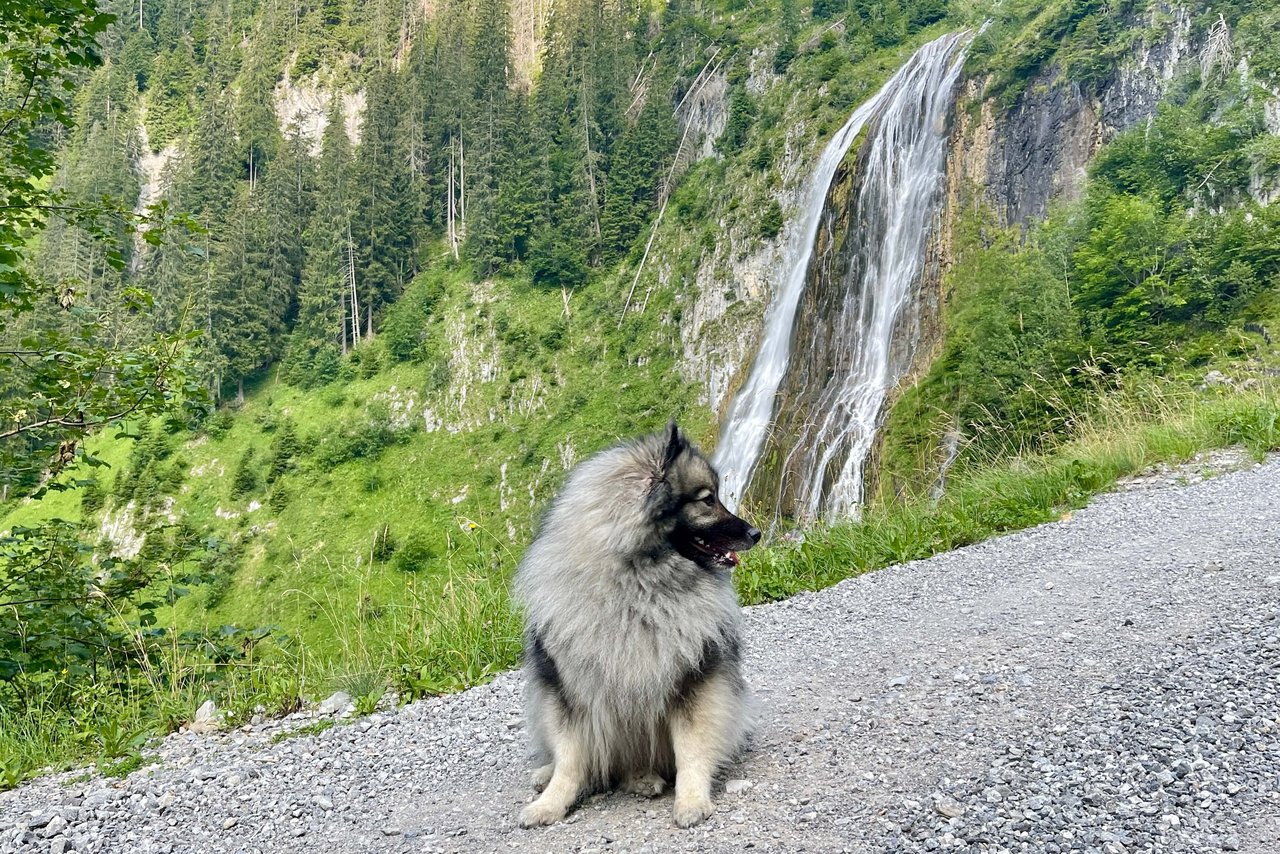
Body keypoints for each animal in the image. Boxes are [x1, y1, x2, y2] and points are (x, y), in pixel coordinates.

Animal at [514, 419, 762, 829]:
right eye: (707, 499)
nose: (756, 533)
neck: (636, 587)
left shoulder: (693, 683)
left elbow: (691, 749)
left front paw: (692, 801)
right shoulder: (569, 694)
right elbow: (569, 758)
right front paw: (550, 802)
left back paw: (643, 778)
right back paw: (548, 775)